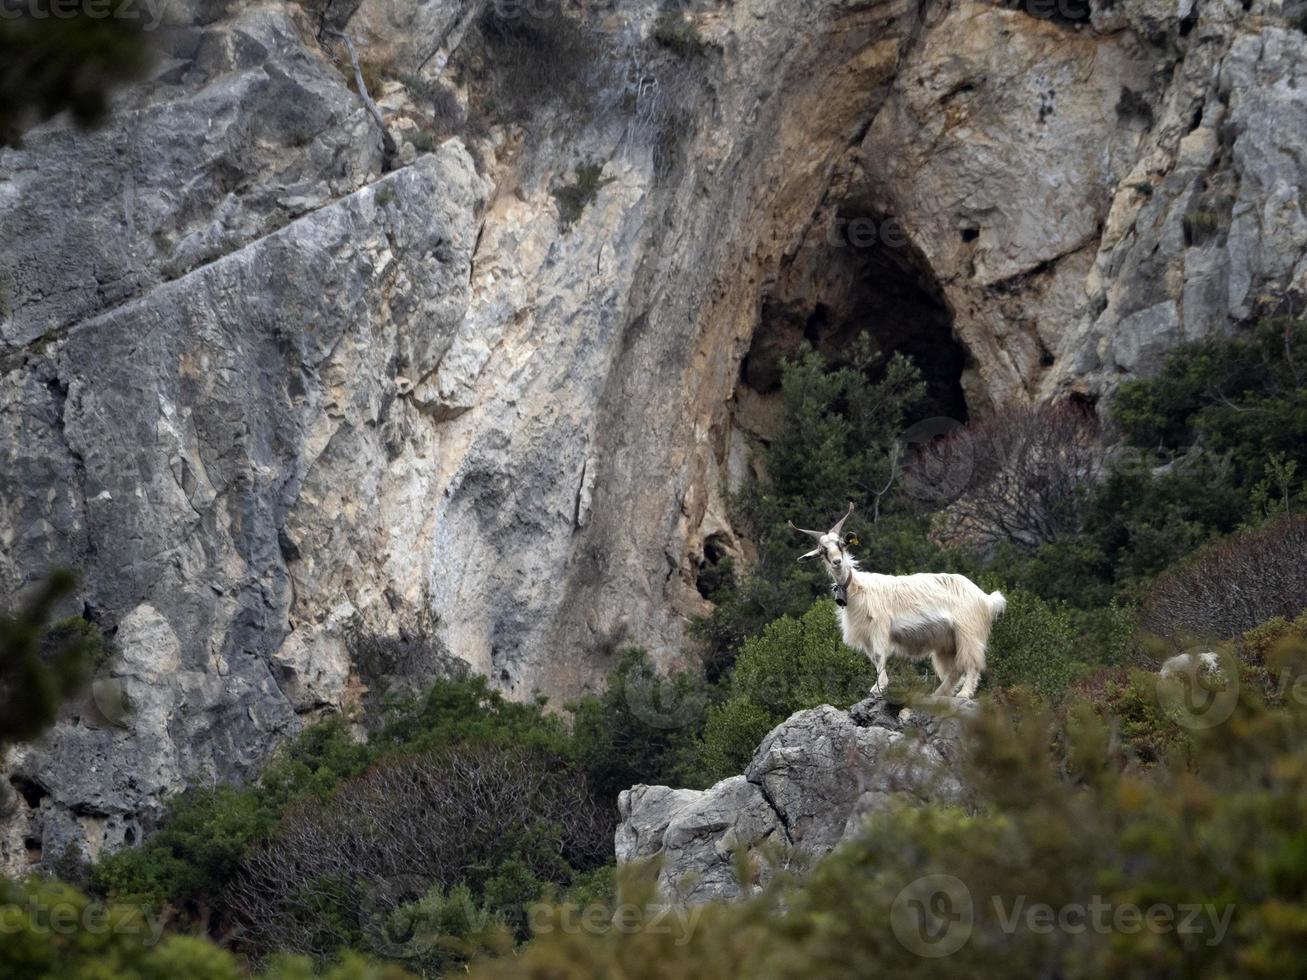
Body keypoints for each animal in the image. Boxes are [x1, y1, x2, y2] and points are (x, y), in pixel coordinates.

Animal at [789, 506, 1003, 700]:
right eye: (823, 550)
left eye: (842, 544)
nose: (837, 562)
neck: (859, 589)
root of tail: (986, 598)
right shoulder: (866, 634)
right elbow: (874, 659)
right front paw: (877, 687)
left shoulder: (879, 626)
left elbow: (879, 656)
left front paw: (879, 688)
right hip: (947, 641)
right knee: (955, 670)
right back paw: (939, 694)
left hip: (968, 632)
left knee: (972, 663)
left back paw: (964, 694)